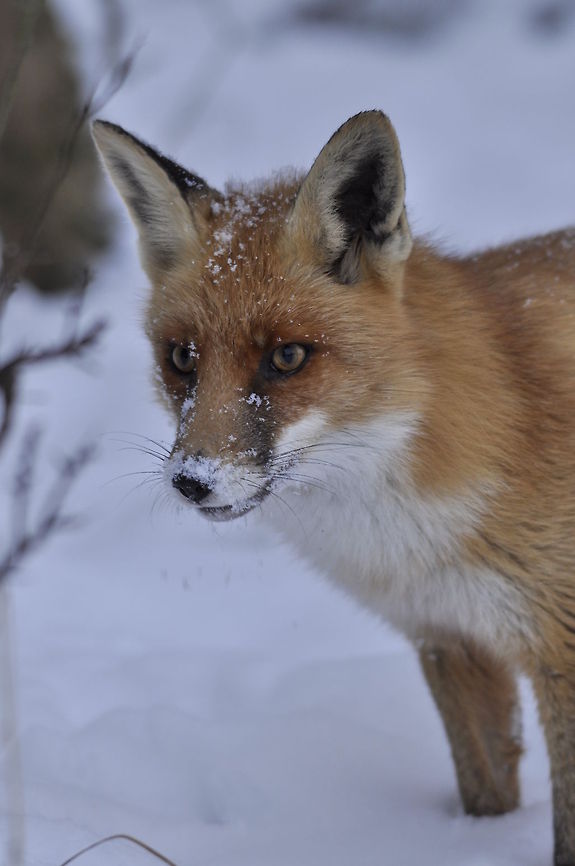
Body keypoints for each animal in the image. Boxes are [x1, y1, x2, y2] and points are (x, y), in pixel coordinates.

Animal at [93, 111, 575, 865]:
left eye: (287, 357)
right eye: (181, 358)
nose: (192, 482)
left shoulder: (559, 648)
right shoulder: (450, 637)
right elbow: (485, 793)